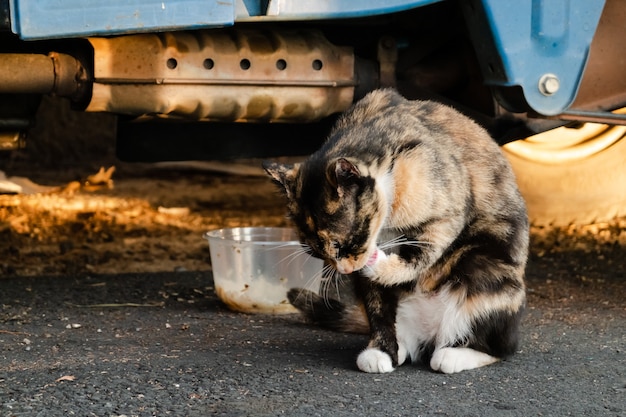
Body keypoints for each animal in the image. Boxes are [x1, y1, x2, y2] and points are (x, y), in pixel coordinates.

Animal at [260, 88, 524, 374]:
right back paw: (386, 351)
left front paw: (381, 264)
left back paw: (455, 354)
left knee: (501, 347)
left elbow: (423, 253)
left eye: (339, 245)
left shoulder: (447, 213)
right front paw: (382, 350)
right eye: (315, 253)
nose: (344, 270)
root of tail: (432, 334)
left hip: (487, 268)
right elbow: (378, 306)